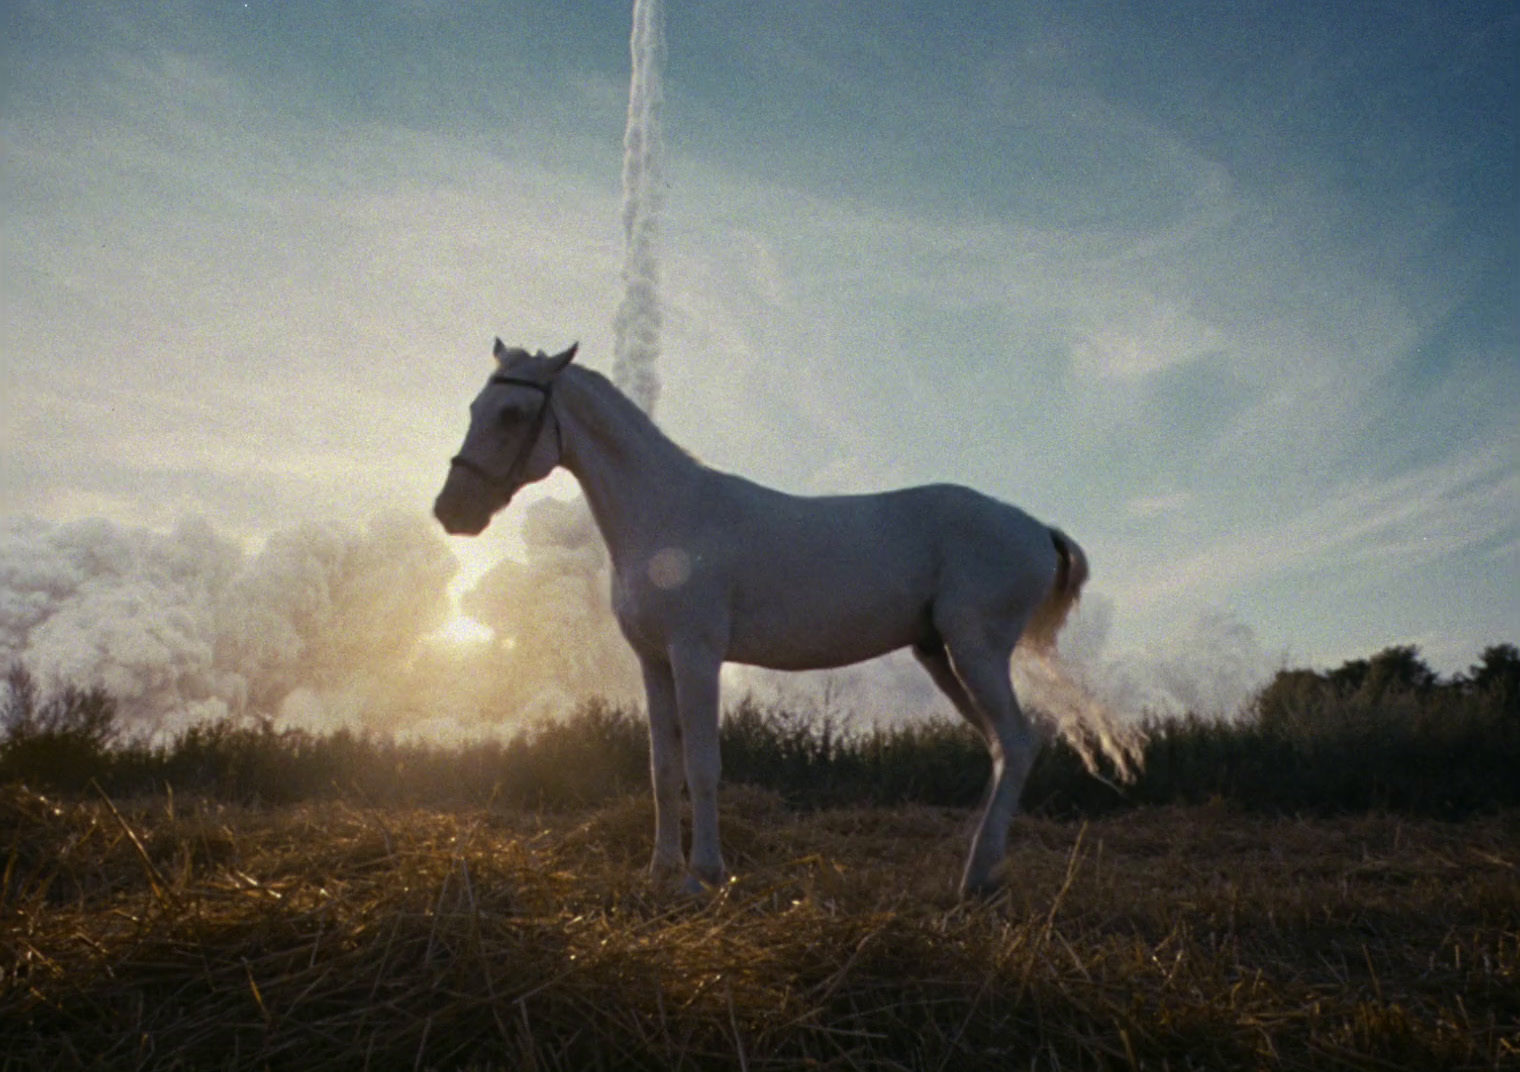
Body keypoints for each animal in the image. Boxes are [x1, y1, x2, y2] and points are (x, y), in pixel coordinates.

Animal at [440, 340, 1094, 894]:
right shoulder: (654, 662)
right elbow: (661, 768)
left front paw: (703, 874)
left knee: (1018, 742)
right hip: (941, 655)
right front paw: (660, 870)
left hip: (976, 650)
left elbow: (702, 764)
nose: (451, 511)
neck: (666, 515)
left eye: (513, 413)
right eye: (476, 406)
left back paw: (977, 876)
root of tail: (1039, 529)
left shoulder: (696, 655)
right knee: (1000, 747)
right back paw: (980, 865)